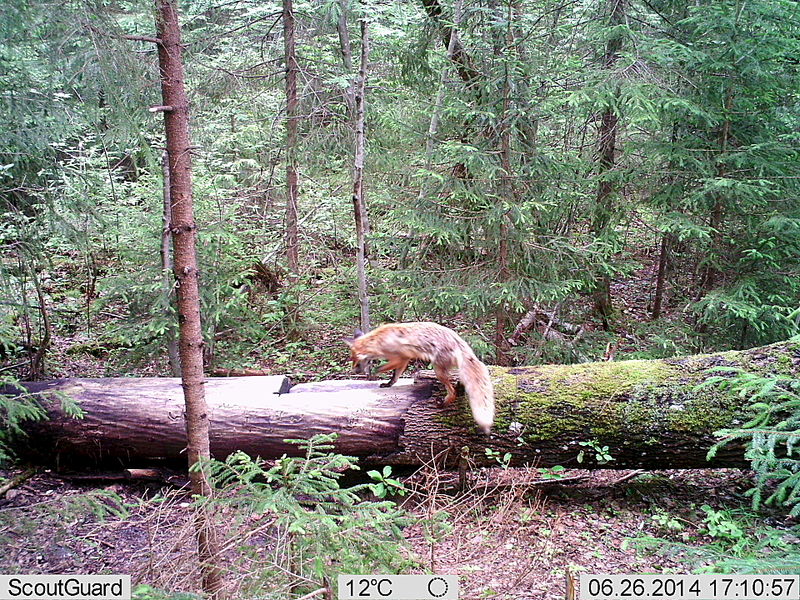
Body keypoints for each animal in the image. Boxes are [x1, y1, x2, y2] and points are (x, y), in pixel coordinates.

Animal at [344, 322, 494, 434]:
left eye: (355, 360)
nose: (354, 370)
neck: (380, 339)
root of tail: (459, 341)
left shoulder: (399, 357)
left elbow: (380, 369)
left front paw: (373, 374)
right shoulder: (404, 359)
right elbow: (395, 376)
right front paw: (388, 384)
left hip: (438, 370)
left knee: (452, 393)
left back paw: (443, 402)